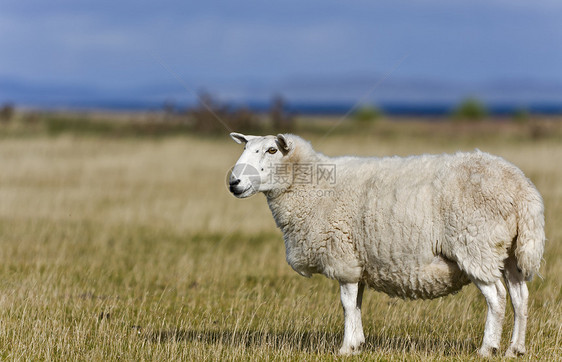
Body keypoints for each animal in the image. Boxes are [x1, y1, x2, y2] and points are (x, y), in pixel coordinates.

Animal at [226, 132, 544, 356]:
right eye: (244, 149)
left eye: (271, 150)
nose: (233, 183)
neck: (311, 188)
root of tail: (521, 187)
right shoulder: (358, 262)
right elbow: (356, 303)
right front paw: (357, 344)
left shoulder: (343, 256)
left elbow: (346, 304)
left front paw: (346, 348)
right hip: (510, 252)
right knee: (520, 297)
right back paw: (515, 349)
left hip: (476, 245)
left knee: (497, 298)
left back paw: (487, 348)